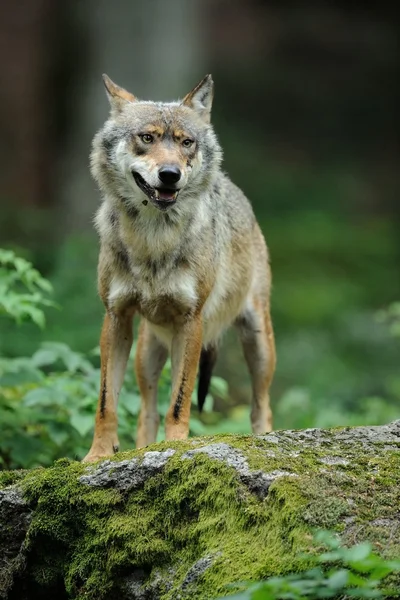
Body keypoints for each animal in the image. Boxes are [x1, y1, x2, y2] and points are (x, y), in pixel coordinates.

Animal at [83, 72, 276, 462]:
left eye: (186, 142)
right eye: (147, 138)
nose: (170, 174)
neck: (152, 241)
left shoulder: (191, 320)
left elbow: (179, 401)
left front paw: (177, 448)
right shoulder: (115, 316)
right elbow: (106, 402)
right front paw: (97, 456)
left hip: (258, 344)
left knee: (261, 407)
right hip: (146, 353)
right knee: (146, 411)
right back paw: (143, 449)